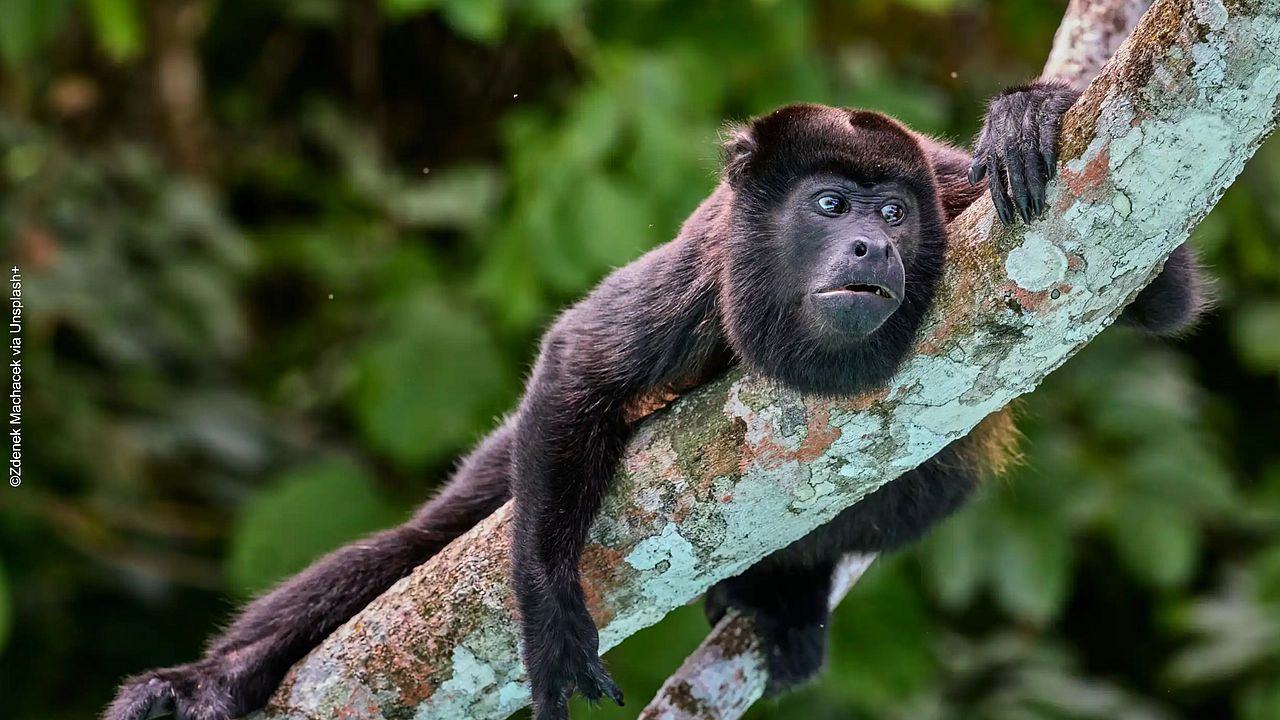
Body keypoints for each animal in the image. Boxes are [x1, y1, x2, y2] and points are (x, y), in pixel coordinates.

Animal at [102, 81, 1208, 717]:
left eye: (894, 214)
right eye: (830, 205)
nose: (872, 246)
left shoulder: (954, 189)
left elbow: (1157, 295)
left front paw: (1027, 113)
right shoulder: (701, 274)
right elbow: (577, 368)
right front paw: (550, 608)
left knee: (932, 484)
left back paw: (784, 595)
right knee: (414, 544)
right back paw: (205, 686)